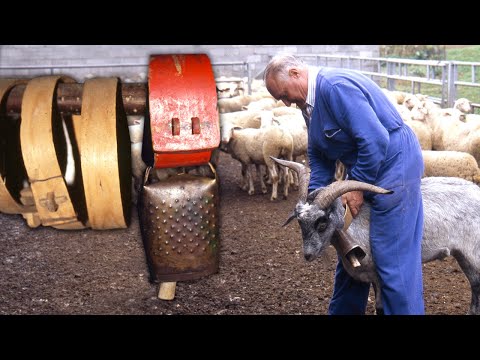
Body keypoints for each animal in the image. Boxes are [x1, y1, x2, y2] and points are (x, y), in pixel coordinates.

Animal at [270, 156, 480, 314]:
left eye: (322, 222)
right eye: (300, 221)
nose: (307, 255)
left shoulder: (380, 277)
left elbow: (381, 308)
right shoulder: (371, 277)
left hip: (473, 255)